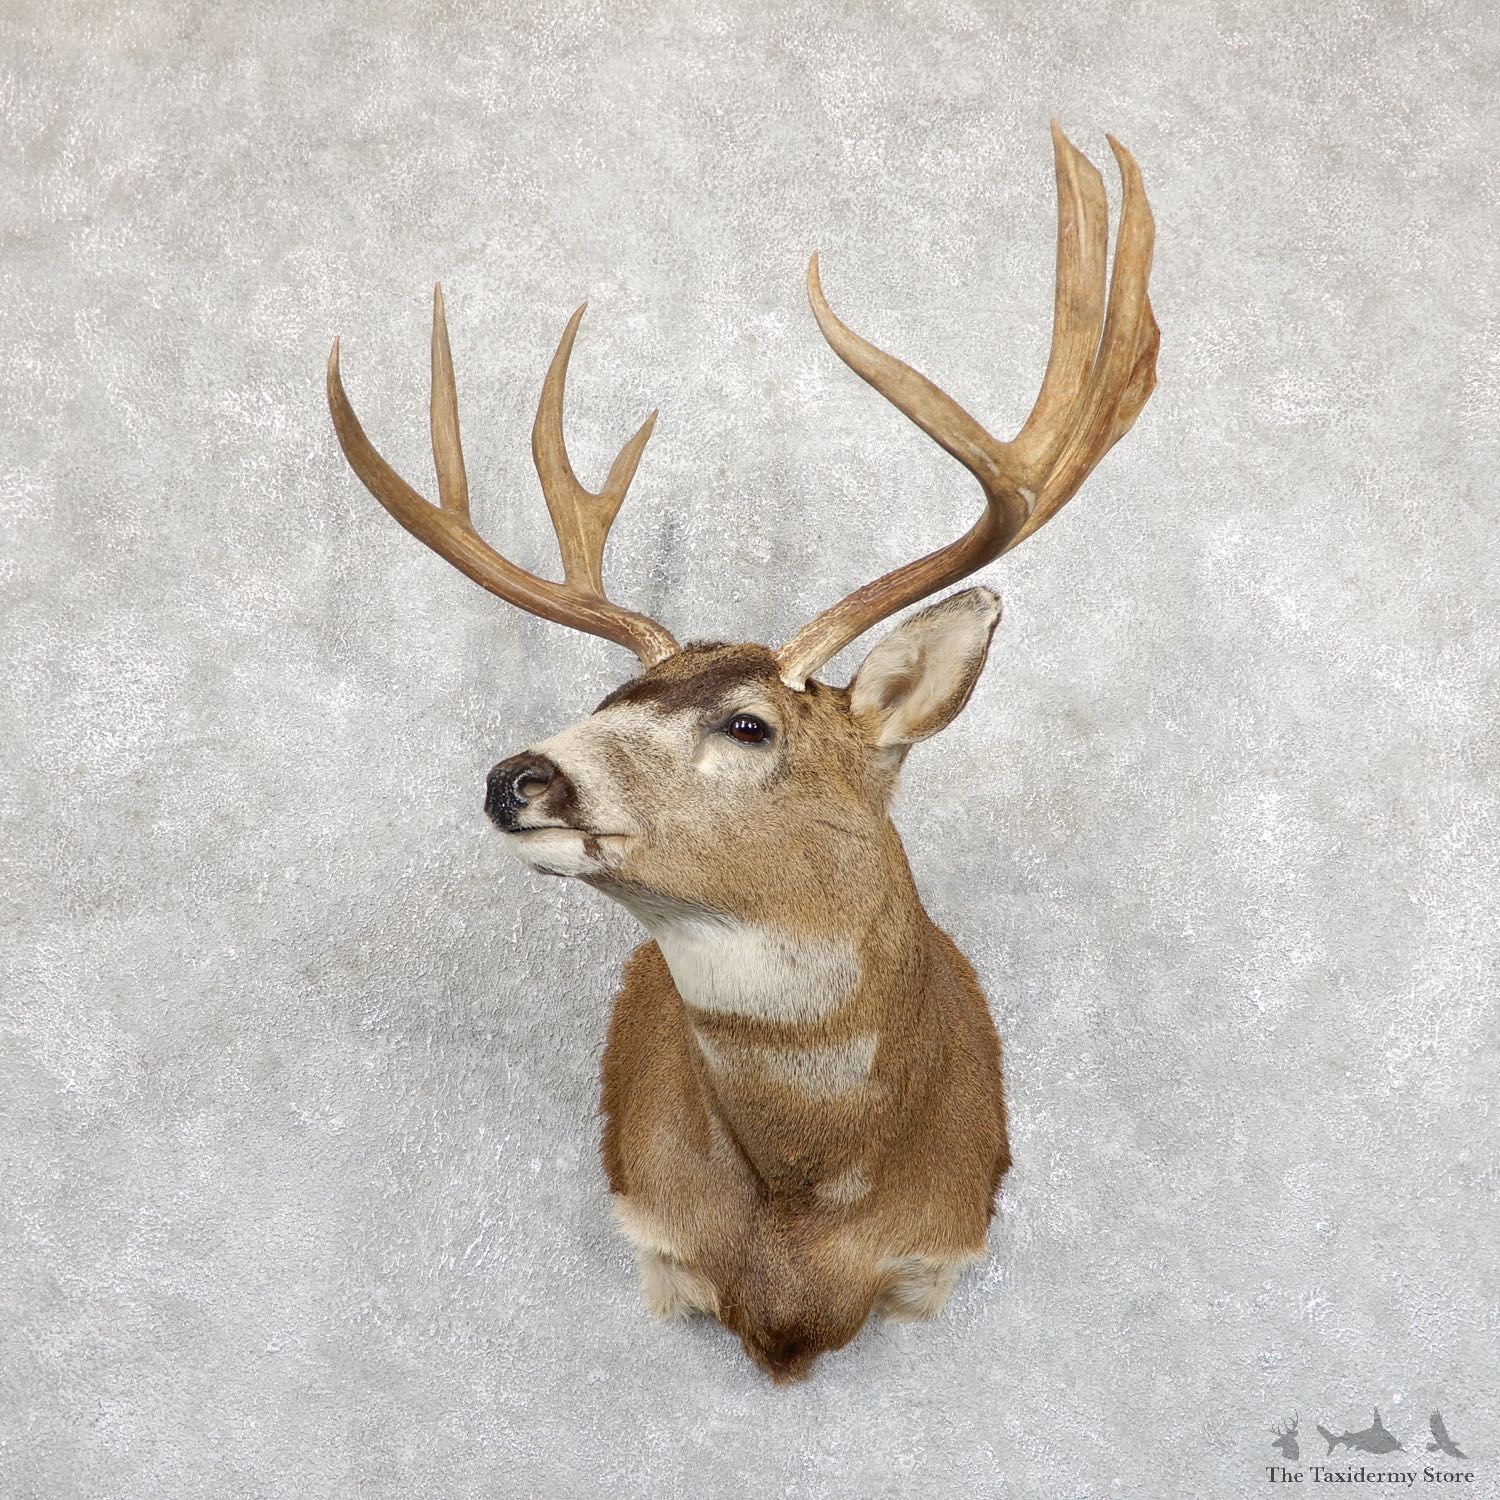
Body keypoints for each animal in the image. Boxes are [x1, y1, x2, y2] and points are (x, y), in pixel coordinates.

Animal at [327, 123, 1158, 1383]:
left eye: (749, 725)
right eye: (609, 696)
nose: (518, 777)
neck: (810, 1200)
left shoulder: (942, 1257)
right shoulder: (653, 1244)